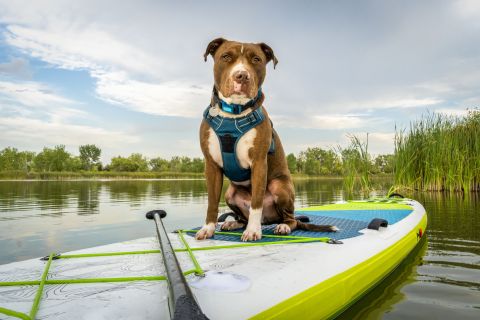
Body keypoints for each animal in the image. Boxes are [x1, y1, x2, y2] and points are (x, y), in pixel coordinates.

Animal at [195, 38, 338, 242]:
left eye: (256, 59)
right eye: (226, 56)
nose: (242, 76)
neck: (234, 114)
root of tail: (269, 220)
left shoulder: (259, 163)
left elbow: (256, 202)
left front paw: (253, 231)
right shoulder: (211, 166)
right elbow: (212, 203)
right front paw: (208, 228)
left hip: (279, 186)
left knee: (291, 219)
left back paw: (282, 226)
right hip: (230, 193)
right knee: (243, 216)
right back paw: (234, 223)